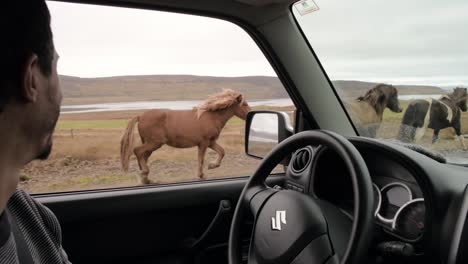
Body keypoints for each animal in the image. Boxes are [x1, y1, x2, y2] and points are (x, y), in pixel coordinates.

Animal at [120, 88, 252, 184]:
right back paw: (144, 174)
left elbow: (222, 152)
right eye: (244, 104)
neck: (211, 118)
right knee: (137, 151)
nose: (250, 114)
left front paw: (212, 165)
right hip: (154, 143)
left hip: (150, 144)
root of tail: (140, 116)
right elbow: (201, 159)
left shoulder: (211, 142)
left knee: (143, 156)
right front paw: (201, 175)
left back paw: (145, 178)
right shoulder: (204, 143)